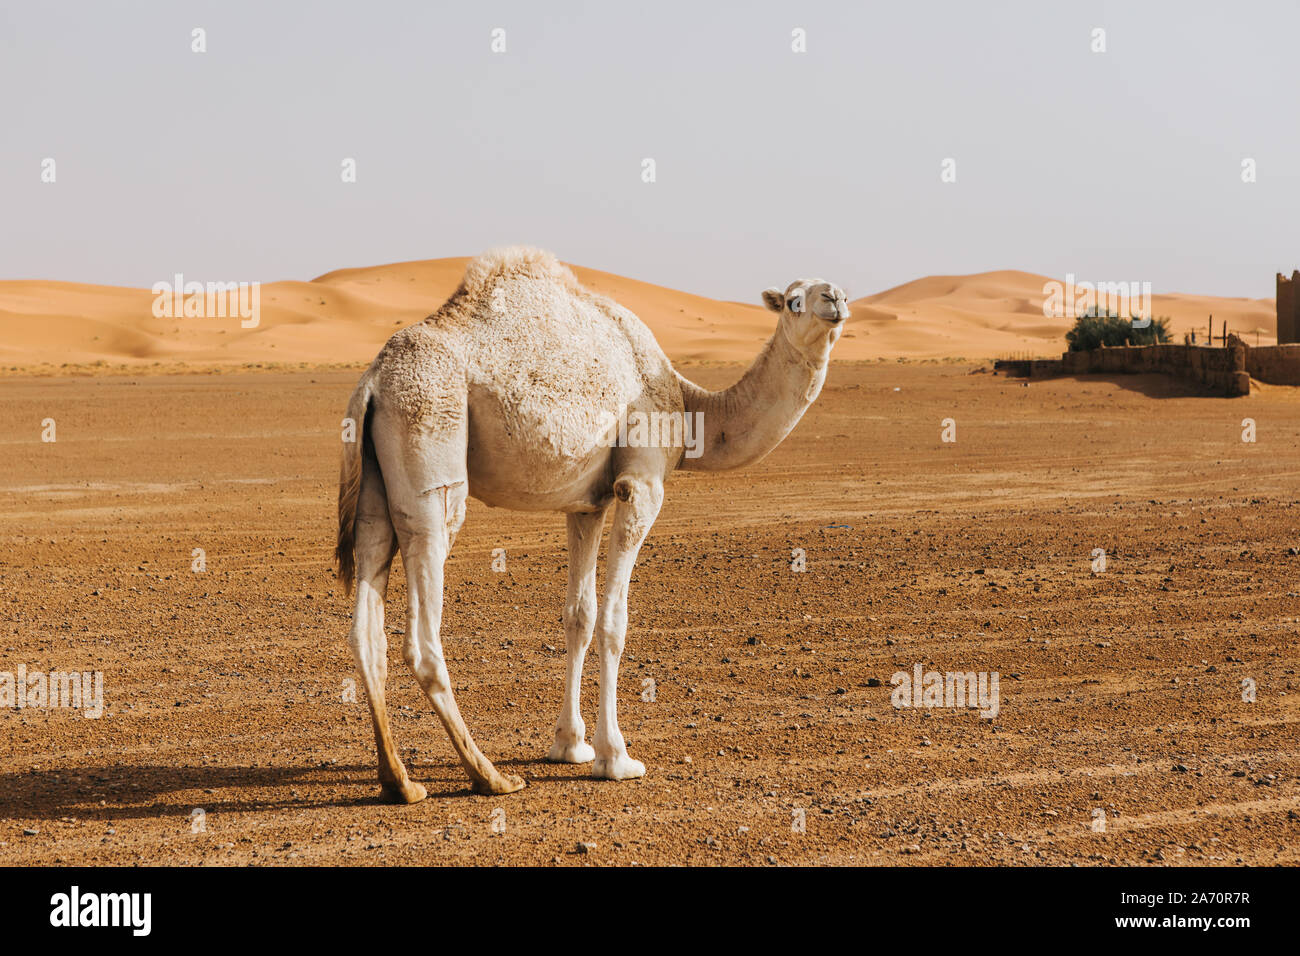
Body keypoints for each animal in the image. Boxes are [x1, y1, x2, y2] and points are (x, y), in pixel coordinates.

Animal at [335, 247, 847, 801]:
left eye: (832, 289)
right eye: (793, 300)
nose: (835, 298)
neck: (688, 404)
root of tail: (371, 382)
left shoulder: (587, 504)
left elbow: (578, 616)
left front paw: (569, 745)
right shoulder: (640, 484)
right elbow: (613, 621)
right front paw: (616, 757)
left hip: (374, 489)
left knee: (367, 627)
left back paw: (400, 781)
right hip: (431, 443)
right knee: (423, 634)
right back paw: (490, 776)